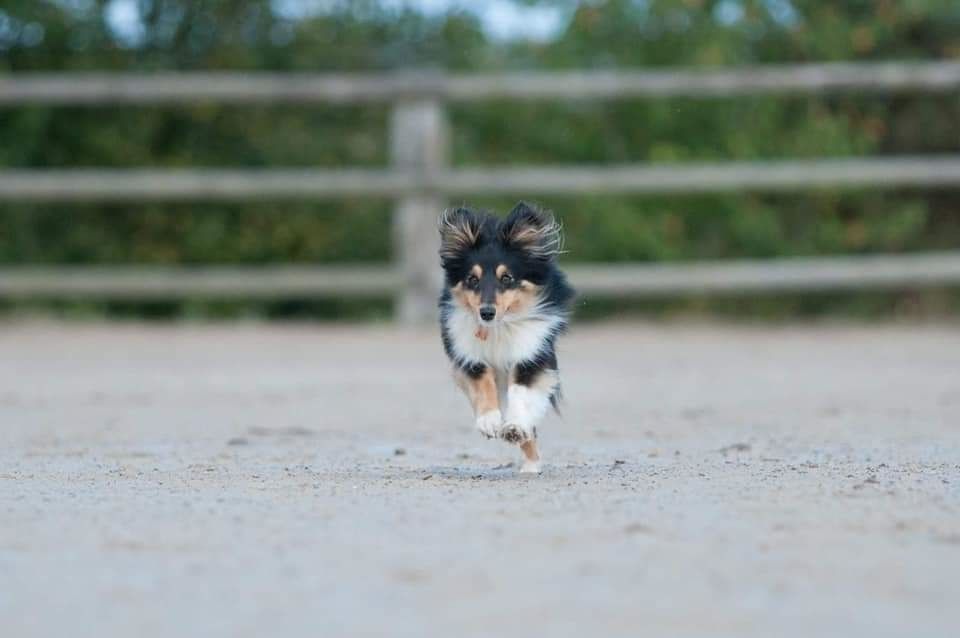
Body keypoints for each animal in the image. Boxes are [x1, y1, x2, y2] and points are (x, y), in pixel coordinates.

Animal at [438, 201, 572, 476]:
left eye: (507, 278)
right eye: (472, 279)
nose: (486, 313)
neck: (498, 328)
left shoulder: (533, 355)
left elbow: (520, 391)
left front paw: (515, 427)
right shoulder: (467, 355)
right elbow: (482, 382)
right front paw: (489, 421)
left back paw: (530, 463)